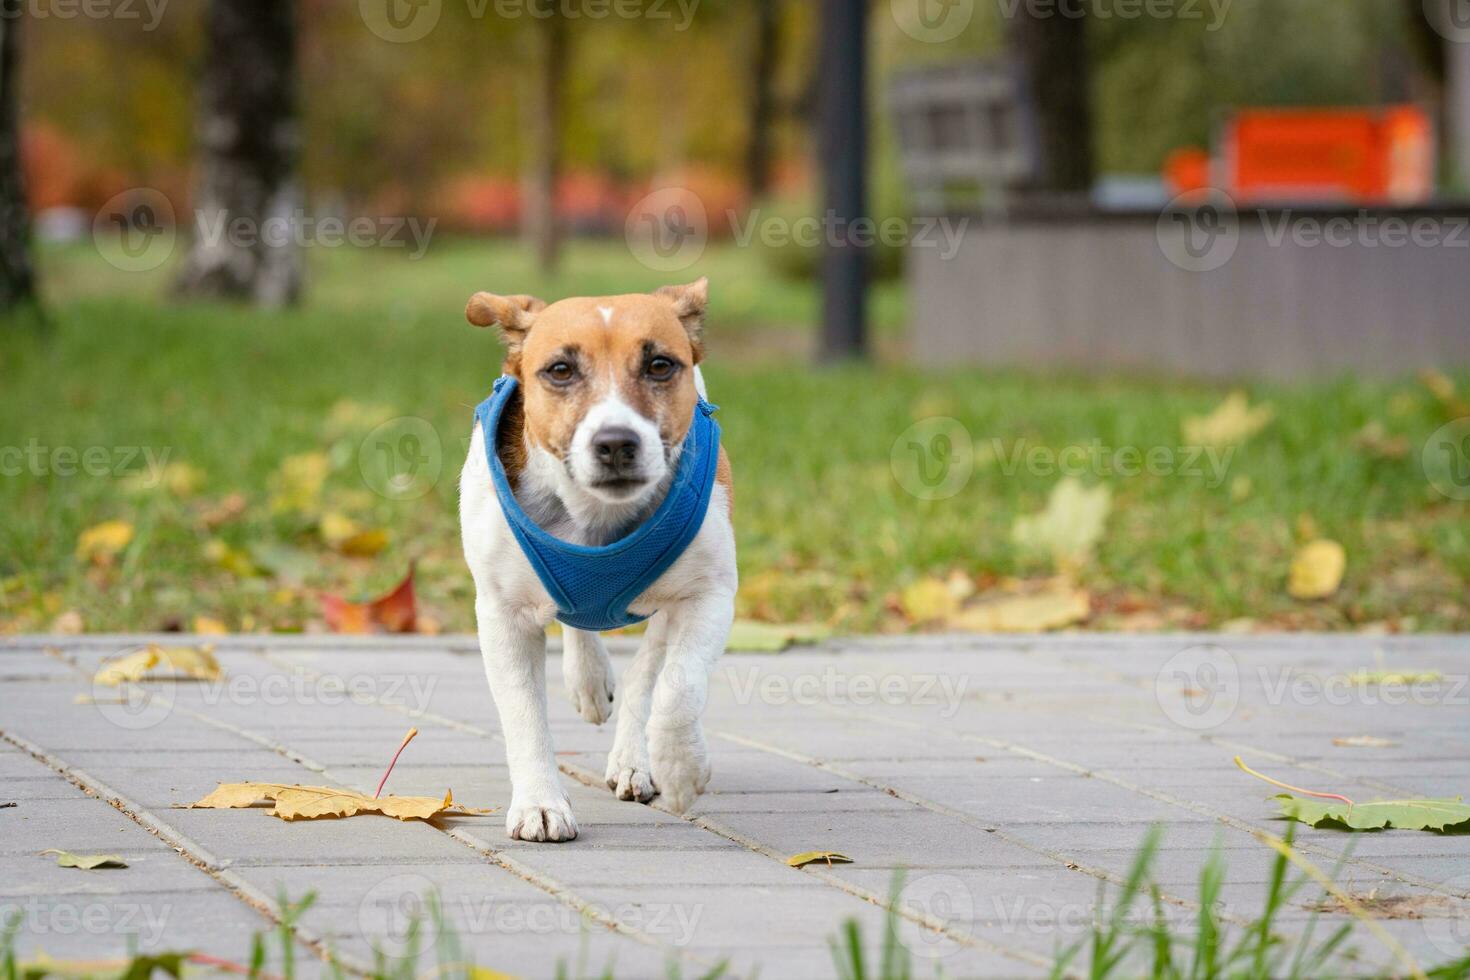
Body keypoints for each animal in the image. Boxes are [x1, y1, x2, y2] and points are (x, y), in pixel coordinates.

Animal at [455, 277, 735, 846]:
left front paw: (680, 767)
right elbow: (523, 713)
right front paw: (540, 803)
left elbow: (678, 688)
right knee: (577, 621)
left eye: (660, 365)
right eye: (560, 370)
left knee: (649, 669)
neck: (594, 515)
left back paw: (634, 758)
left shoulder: (712, 594)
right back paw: (587, 679)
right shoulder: (502, 615)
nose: (615, 442)